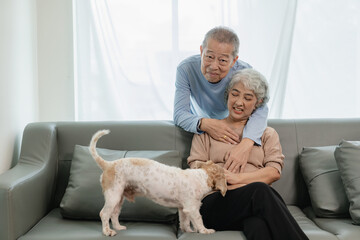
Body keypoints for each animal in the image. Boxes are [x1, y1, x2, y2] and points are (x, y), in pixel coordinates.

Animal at [88, 129, 226, 236]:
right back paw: (108, 232)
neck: (201, 176)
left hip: (119, 198)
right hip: (113, 196)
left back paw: (118, 227)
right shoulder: (192, 207)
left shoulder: (183, 208)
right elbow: (198, 220)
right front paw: (205, 230)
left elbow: (185, 222)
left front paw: (188, 231)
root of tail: (108, 164)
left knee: (114, 214)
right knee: (104, 214)